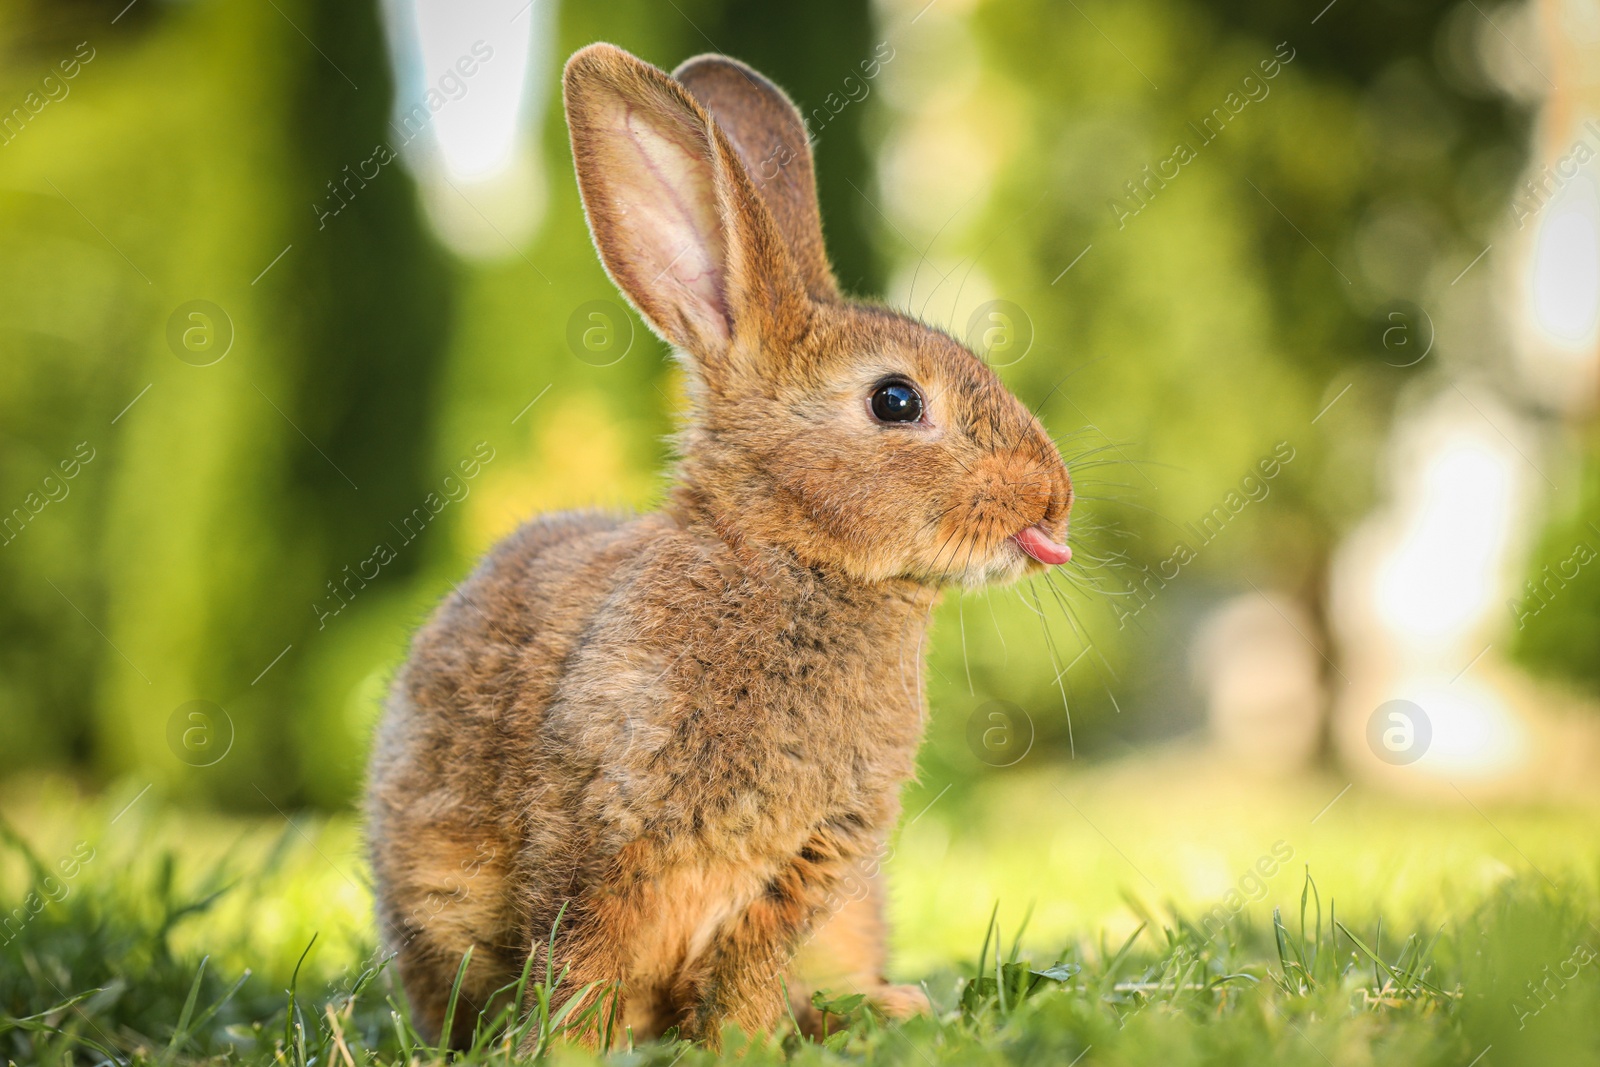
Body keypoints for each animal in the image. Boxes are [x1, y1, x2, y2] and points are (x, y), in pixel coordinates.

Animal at [366, 43, 1075, 1049]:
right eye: (896, 400)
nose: (1056, 499)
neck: (789, 555)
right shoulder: (601, 836)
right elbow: (583, 957)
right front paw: (572, 1052)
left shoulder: (811, 863)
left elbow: (746, 966)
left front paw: (742, 1044)